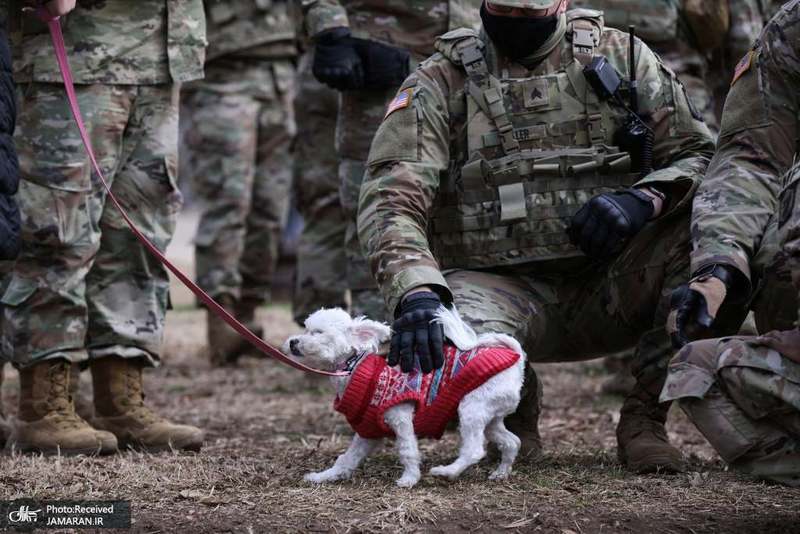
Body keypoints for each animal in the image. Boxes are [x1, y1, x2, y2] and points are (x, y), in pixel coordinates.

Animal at [284, 310, 528, 490]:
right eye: (305, 328)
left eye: (317, 332)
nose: (293, 342)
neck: (352, 369)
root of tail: (516, 359)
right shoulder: (367, 432)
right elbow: (346, 459)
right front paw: (324, 476)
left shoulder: (400, 417)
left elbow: (407, 450)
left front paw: (409, 479)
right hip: (491, 417)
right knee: (512, 441)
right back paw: (501, 473)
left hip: (472, 408)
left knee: (474, 450)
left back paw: (446, 471)